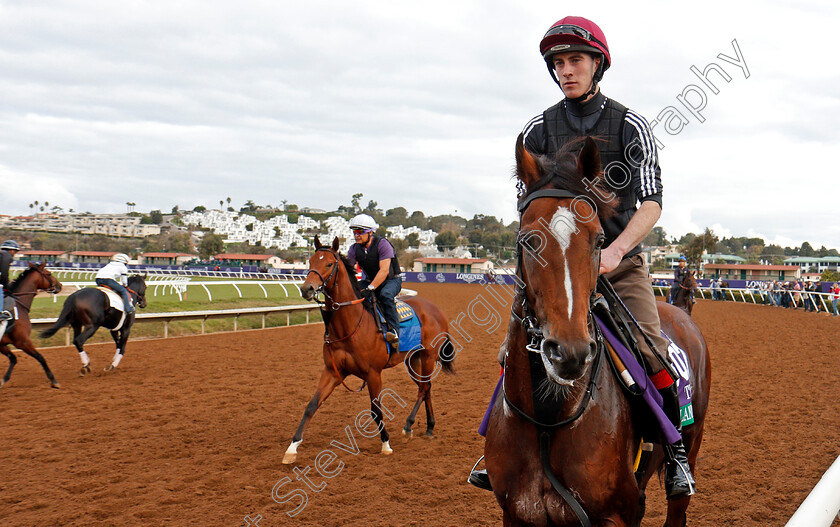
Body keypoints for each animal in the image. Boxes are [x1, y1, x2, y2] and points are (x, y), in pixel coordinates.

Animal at [280, 237, 452, 464]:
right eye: (311, 261)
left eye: (328, 264)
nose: (307, 289)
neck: (350, 325)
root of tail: (436, 310)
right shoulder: (333, 371)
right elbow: (311, 406)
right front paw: (292, 448)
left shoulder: (373, 374)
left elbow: (376, 411)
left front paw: (386, 444)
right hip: (413, 360)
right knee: (427, 387)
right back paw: (429, 427)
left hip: (428, 356)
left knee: (424, 388)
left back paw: (408, 426)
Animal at [482, 137, 712, 527]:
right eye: (528, 241)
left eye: (600, 240)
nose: (569, 352)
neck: (548, 420)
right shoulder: (515, 514)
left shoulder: (614, 515)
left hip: (690, 450)